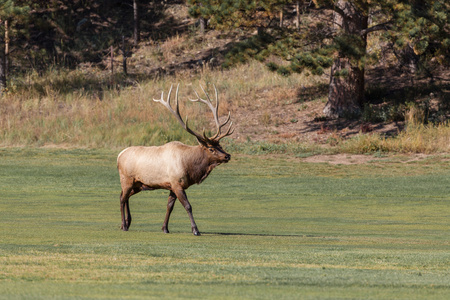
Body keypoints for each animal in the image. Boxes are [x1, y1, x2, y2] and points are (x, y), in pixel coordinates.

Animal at [118, 83, 234, 236]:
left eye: (220, 145)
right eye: (211, 148)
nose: (227, 156)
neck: (190, 167)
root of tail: (119, 155)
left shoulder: (171, 185)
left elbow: (169, 206)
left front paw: (165, 228)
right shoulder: (177, 183)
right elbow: (188, 206)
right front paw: (195, 230)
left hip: (138, 184)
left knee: (124, 196)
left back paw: (126, 223)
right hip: (127, 179)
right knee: (122, 198)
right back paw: (124, 225)